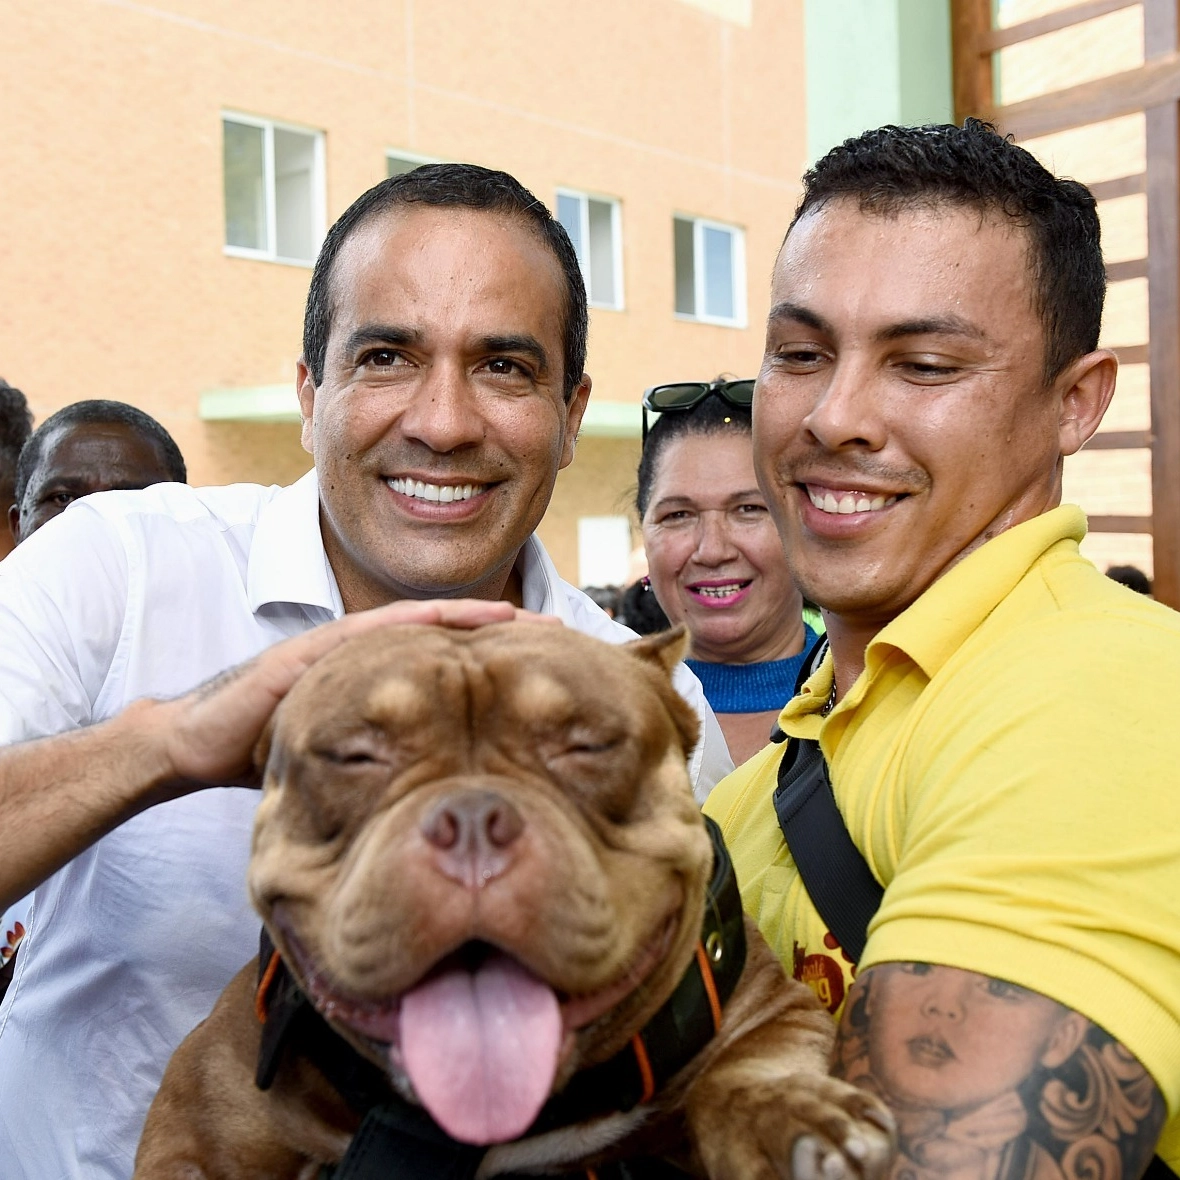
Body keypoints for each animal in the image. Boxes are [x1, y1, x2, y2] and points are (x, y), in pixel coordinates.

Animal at [135, 623, 892, 1175]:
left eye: (589, 745)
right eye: (353, 755)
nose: (472, 822)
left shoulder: (773, 1011)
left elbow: (748, 1073)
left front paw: (792, 1123)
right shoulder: (195, 1126)